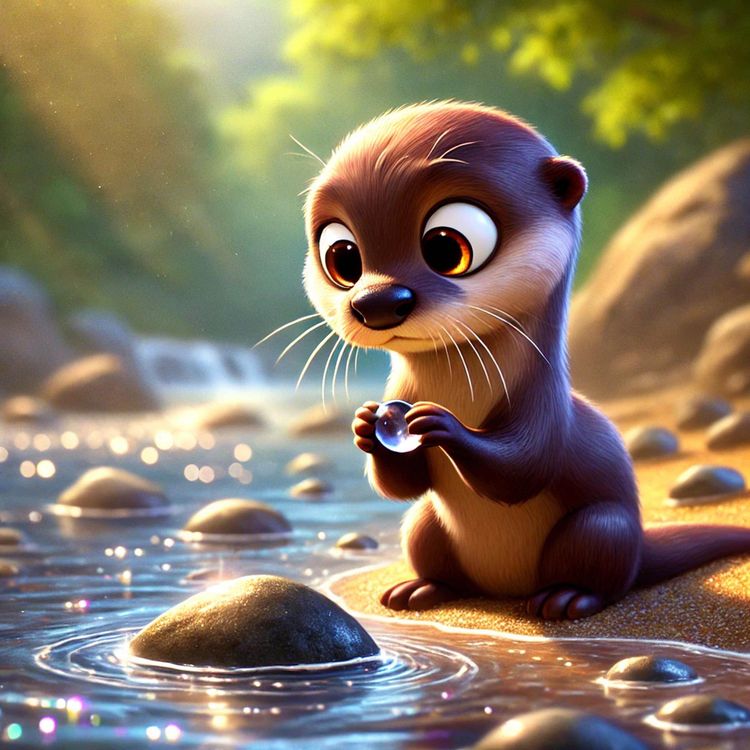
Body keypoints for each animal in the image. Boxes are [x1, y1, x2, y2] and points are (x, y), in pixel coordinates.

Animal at [302, 101, 750, 620]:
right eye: (342, 257)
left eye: (446, 246)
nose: (376, 302)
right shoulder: (403, 398)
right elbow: (402, 486)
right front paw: (365, 424)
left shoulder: (544, 402)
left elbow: (522, 469)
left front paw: (442, 425)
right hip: (425, 525)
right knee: (425, 530)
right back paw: (421, 589)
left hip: (601, 529)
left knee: (602, 566)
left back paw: (568, 597)